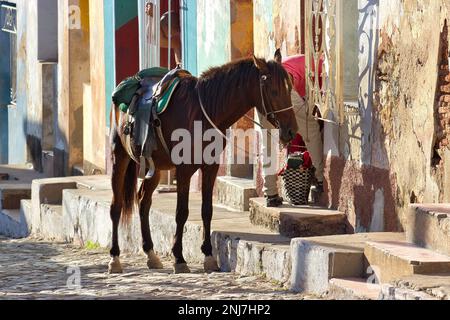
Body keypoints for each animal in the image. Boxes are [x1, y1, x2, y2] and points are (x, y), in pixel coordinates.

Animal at [108, 49, 298, 272]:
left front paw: (208, 255)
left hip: (155, 167)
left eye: (290, 88)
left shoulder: (210, 166)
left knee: (143, 201)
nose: (291, 131)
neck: (202, 111)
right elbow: (181, 212)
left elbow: (207, 210)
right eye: (274, 91)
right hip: (119, 157)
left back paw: (150, 253)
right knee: (116, 206)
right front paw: (179, 258)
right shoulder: (183, 169)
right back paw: (114, 258)